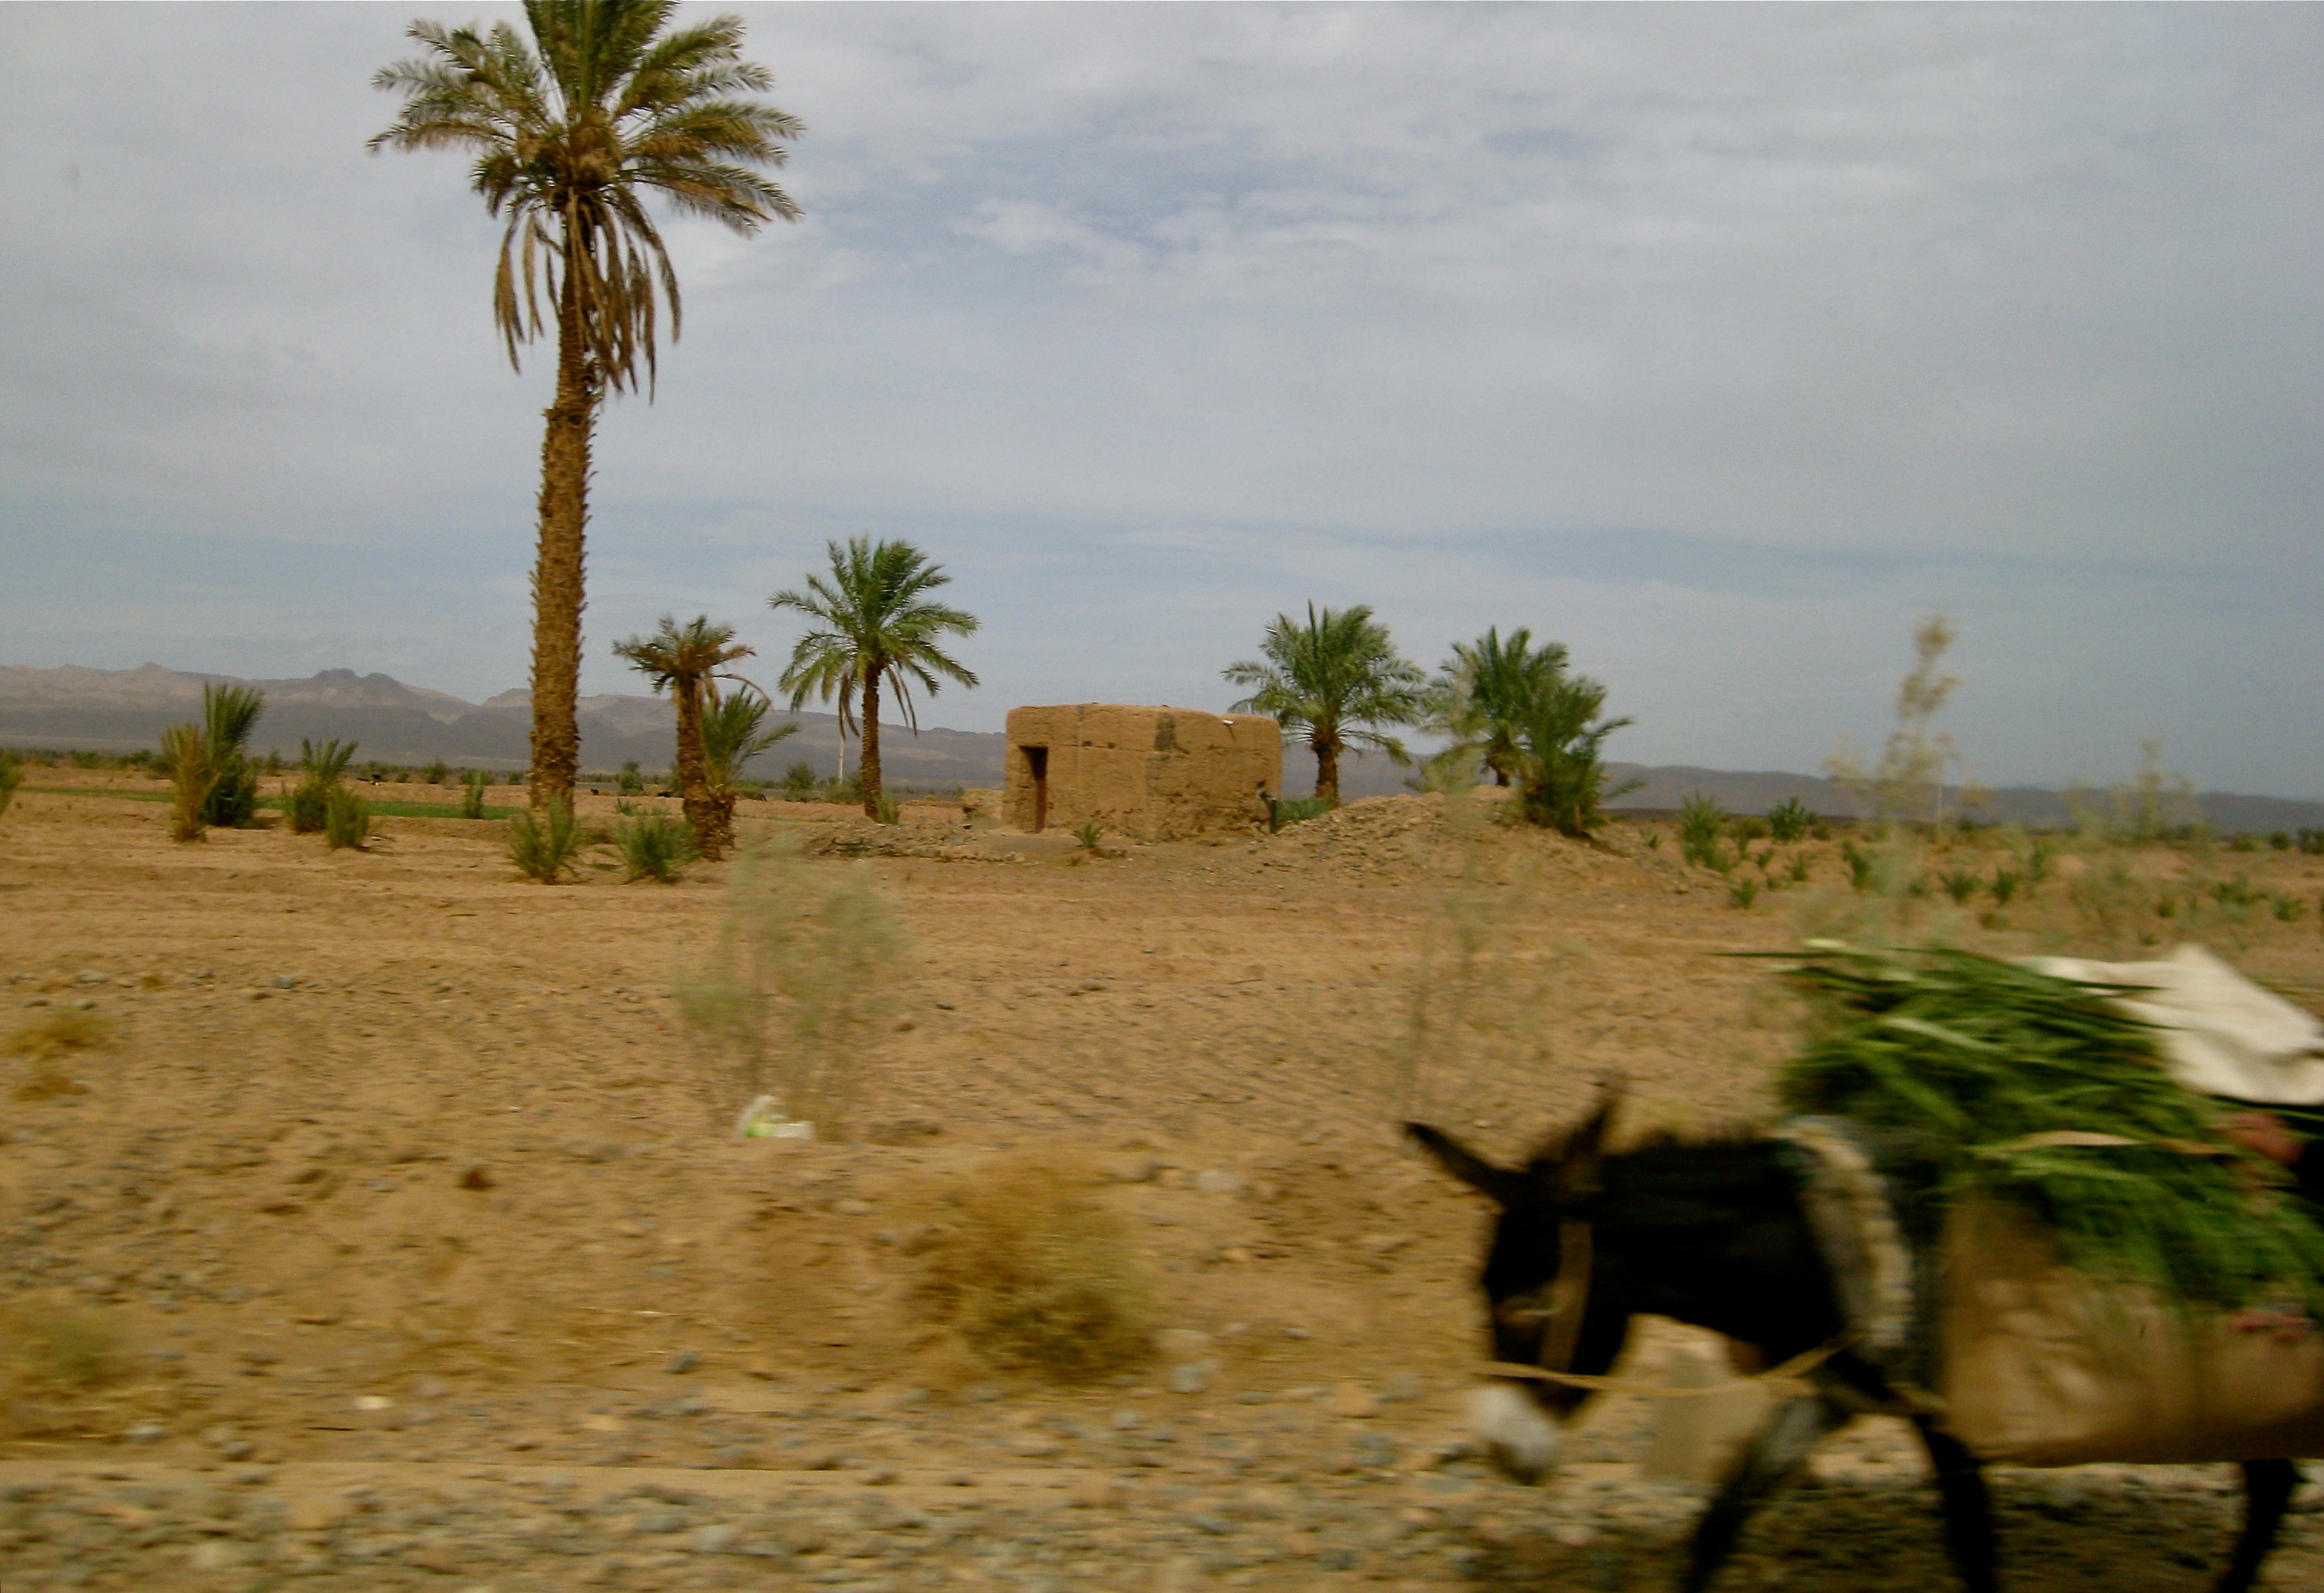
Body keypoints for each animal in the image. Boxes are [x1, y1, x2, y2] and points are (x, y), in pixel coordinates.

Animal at [1406, 1091, 2305, 1593]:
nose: (1496, 1449)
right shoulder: (1832, 1392)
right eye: (1479, 1292)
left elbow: (1974, 1550)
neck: (1828, 1241)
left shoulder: (1951, 1424)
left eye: (1529, 1302)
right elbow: (1717, 1523)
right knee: (2272, 1486)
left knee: (2270, 1489)